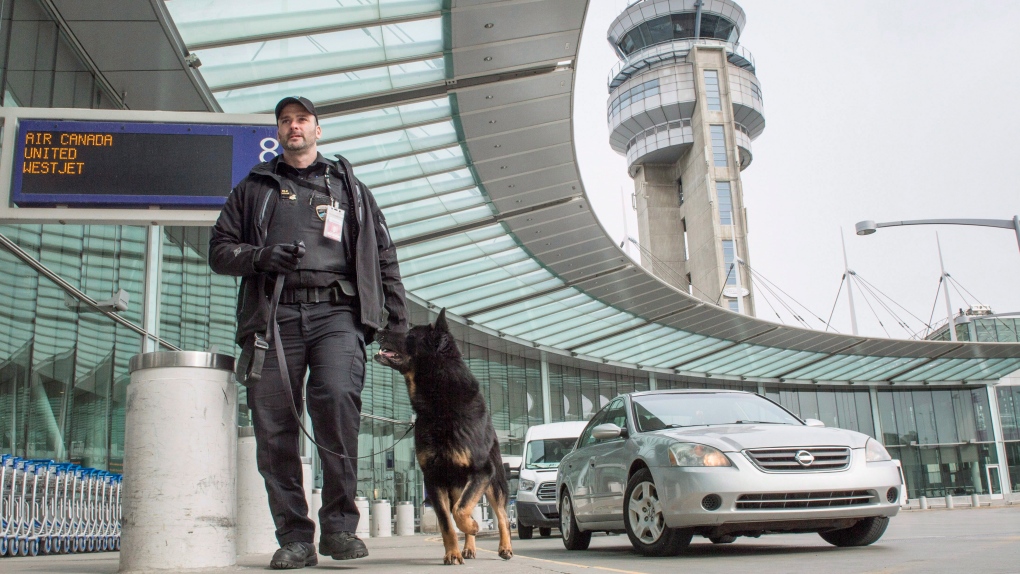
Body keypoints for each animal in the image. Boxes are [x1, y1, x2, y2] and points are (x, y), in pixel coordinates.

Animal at [375, 311, 514, 562]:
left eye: (410, 334)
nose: (377, 330)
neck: (439, 401)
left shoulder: (481, 471)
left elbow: (461, 511)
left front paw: (473, 526)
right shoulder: (433, 478)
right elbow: (447, 522)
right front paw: (453, 553)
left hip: (494, 481)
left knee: (501, 516)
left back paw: (505, 547)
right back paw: (468, 547)